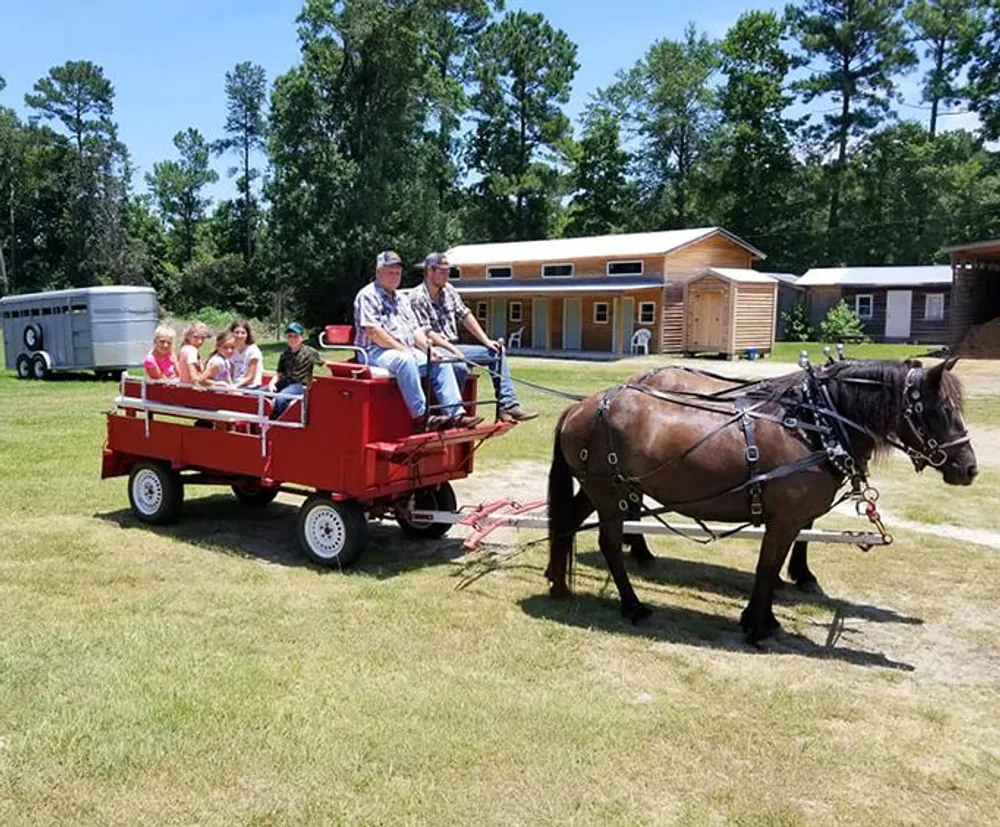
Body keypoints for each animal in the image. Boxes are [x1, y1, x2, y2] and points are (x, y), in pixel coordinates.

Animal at [548, 360, 976, 644]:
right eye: (942, 411)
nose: (969, 468)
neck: (816, 426)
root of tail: (579, 406)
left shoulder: (788, 519)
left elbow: (773, 565)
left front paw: (767, 616)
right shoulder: (785, 519)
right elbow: (768, 567)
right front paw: (757, 624)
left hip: (601, 489)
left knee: (567, 519)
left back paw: (558, 582)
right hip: (609, 493)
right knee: (608, 543)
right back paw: (633, 605)